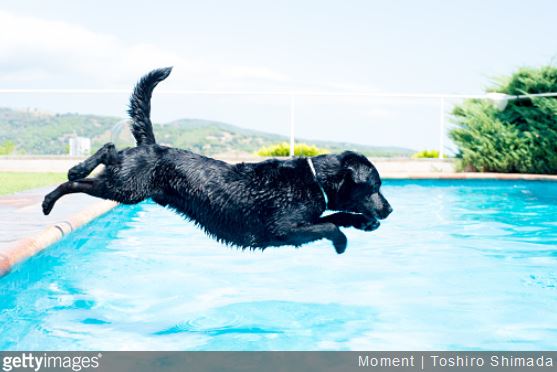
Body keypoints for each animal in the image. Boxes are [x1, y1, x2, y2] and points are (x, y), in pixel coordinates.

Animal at [42, 67, 390, 253]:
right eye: (375, 186)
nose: (389, 209)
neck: (314, 178)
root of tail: (151, 145)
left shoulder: (303, 222)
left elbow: (336, 216)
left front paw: (362, 222)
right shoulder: (283, 230)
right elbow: (329, 225)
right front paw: (342, 241)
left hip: (127, 184)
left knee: (110, 153)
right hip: (127, 188)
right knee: (97, 160)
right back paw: (54, 193)